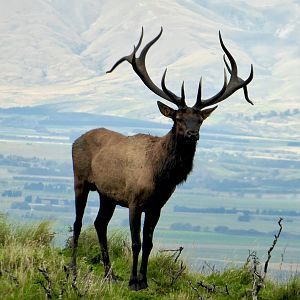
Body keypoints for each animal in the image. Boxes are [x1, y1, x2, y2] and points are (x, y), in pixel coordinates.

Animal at [71, 28, 253, 290]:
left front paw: (144, 281)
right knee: (78, 223)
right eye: (178, 118)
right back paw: (74, 270)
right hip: (81, 180)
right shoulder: (134, 200)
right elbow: (135, 242)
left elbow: (149, 243)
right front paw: (133, 282)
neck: (161, 176)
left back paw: (109, 274)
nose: (192, 134)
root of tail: (76, 140)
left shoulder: (157, 206)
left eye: (200, 120)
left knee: (99, 223)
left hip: (108, 195)